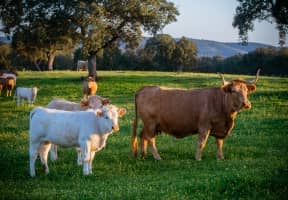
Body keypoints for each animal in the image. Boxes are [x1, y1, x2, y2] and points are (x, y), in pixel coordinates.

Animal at [132, 69, 260, 160]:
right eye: (233, 91)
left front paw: (221, 157)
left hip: (150, 125)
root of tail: (145, 88)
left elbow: (219, 143)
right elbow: (201, 142)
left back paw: (144, 155)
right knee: (150, 139)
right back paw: (157, 157)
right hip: (150, 124)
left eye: (246, 90)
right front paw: (198, 158)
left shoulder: (219, 128)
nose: (246, 104)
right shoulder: (204, 126)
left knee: (143, 136)